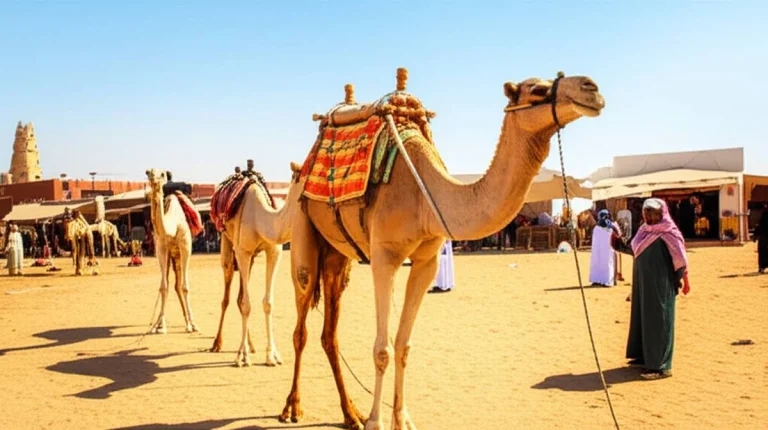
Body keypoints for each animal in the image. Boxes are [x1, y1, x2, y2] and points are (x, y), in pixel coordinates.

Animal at [145, 169, 202, 334]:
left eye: (162, 174)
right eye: (148, 172)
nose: (153, 177)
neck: (173, 224)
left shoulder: (185, 246)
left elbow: (185, 287)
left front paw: (193, 324)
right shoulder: (161, 249)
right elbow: (164, 287)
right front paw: (161, 326)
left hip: (179, 256)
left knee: (179, 285)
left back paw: (189, 322)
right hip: (172, 257)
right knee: (173, 284)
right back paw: (159, 323)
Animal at [209, 162, 305, 367]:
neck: (261, 219)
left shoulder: (274, 251)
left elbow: (267, 302)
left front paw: (272, 355)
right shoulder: (242, 251)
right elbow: (246, 303)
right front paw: (242, 356)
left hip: (251, 257)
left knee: (239, 296)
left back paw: (251, 345)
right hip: (227, 244)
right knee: (227, 297)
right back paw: (217, 343)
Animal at [279, 70, 605, 430]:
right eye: (536, 90)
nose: (591, 88)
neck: (425, 196)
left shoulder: (426, 261)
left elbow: (403, 345)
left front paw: (402, 419)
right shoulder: (384, 257)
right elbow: (382, 349)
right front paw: (377, 422)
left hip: (338, 256)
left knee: (330, 333)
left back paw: (351, 414)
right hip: (303, 225)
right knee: (301, 323)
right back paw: (293, 408)